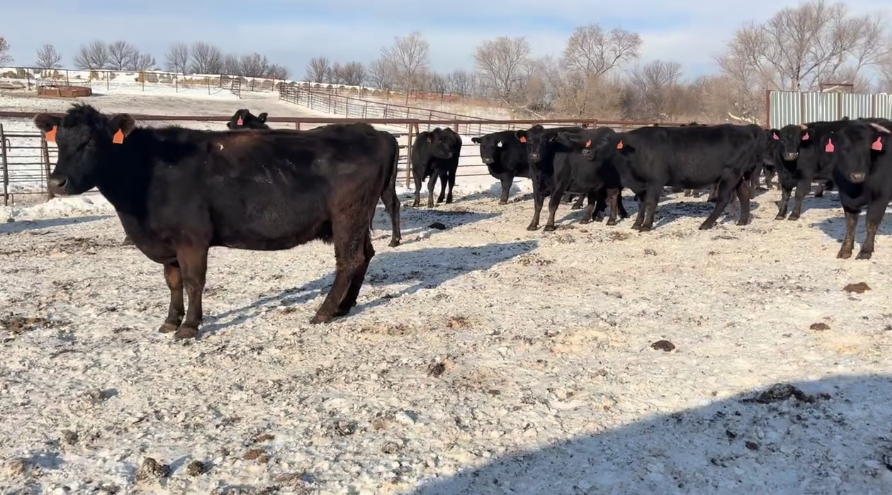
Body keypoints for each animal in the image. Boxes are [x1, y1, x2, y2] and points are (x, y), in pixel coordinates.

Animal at [575, 124, 764, 231]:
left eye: (607, 143)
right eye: (591, 141)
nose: (586, 152)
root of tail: (746, 129)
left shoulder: (656, 181)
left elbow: (651, 203)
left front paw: (646, 226)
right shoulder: (641, 185)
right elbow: (641, 203)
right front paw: (637, 224)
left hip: (730, 173)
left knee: (724, 198)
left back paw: (706, 223)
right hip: (738, 175)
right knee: (744, 193)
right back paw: (742, 221)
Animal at [818, 120, 891, 259]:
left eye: (868, 148)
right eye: (843, 148)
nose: (858, 175)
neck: (856, 190)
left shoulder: (880, 197)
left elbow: (871, 223)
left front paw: (866, 251)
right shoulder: (846, 198)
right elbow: (850, 224)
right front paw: (845, 250)